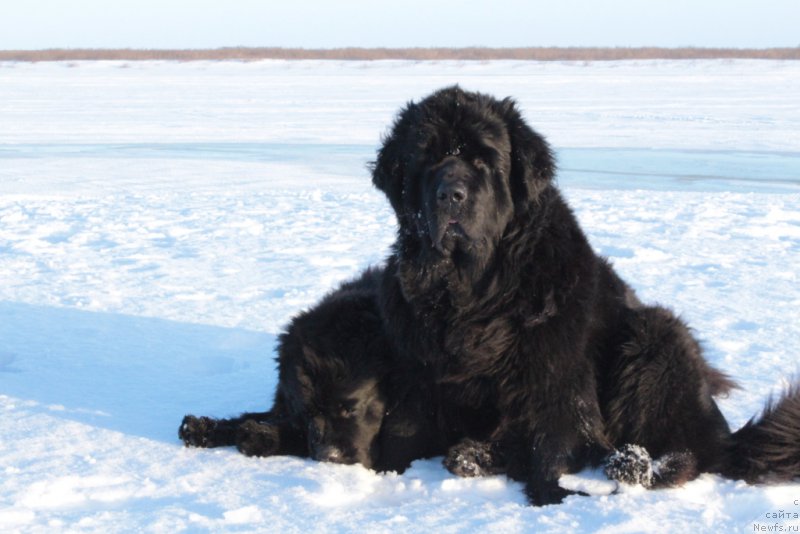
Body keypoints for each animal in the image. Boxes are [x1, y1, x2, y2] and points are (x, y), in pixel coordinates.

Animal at [374, 87, 800, 506]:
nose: (451, 194)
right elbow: (401, 432)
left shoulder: (557, 377)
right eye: (427, 159)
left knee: (686, 454)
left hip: (655, 335)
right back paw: (473, 455)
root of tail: (725, 435)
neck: (475, 289)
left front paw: (555, 495)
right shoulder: (421, 376)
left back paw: (633, 466)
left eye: (483, 159)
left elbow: (557, 443)